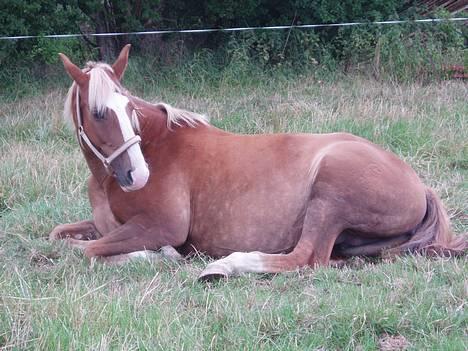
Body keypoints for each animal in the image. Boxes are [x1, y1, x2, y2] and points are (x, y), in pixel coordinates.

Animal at [49, 44, 466, 280]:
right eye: (99, 113)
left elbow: (88, 251)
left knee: (304, 258)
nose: (137, 175)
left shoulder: (161, 226)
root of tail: (421, 186)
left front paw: (160, 255)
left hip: (329, 196)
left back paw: (222, 267)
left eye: (130, 109)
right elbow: (60, 236)